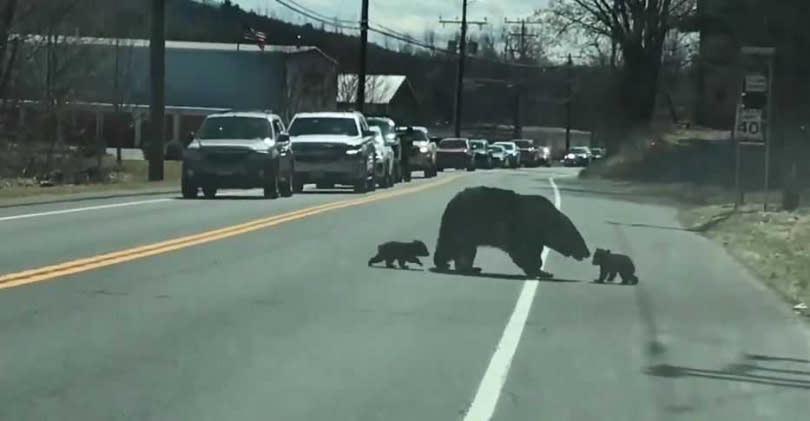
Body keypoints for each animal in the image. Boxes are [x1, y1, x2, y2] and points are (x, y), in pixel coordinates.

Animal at [432, 185, 592, 278]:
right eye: (577, 237)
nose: (587, 252)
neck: (546, 222)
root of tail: (451, 202)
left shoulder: (536, 235)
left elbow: (533, 250)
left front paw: (541, 270)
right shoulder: (524, 228)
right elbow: (523, 251)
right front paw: (538, 270)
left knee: (466, 250)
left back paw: (471, 268)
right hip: (463, 224)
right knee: (452, 245)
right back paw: (443, 263)